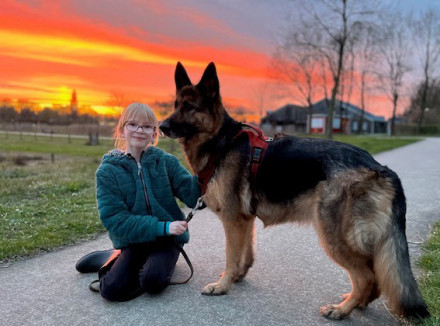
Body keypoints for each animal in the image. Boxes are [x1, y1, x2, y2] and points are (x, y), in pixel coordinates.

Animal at [159, 62, 430, 320]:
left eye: (190, 107)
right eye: (176, 105)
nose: (161, 126)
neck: (221, 141)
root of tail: (380, 167)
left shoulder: (233, 220)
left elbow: (231, 256)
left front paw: (223, 285)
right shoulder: (245, 220)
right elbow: (245, 255)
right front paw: (236, 277)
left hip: (332, 236)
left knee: (367, 277)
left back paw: (341, 310)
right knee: (373, 278)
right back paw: (355, 304)